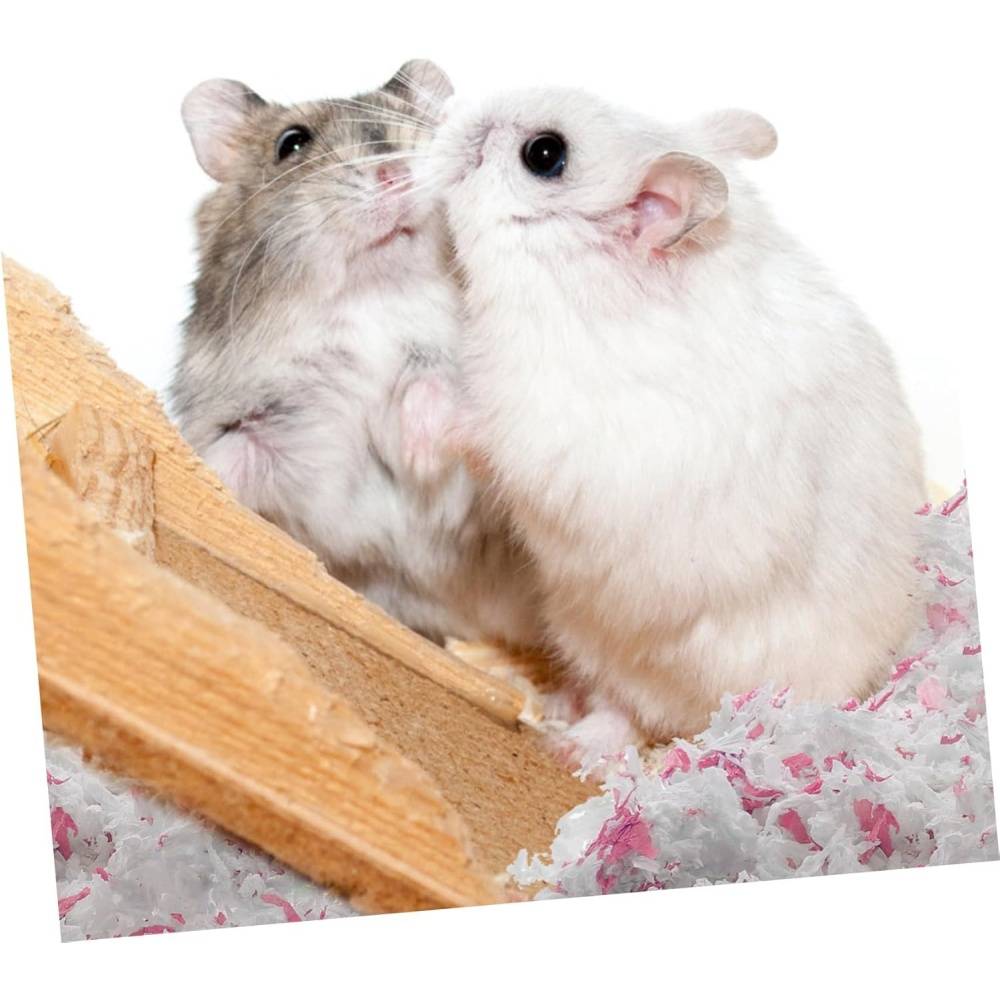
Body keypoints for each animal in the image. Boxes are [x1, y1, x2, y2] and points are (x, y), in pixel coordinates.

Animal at [169, 61, 540, 646]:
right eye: (291, 143)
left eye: (424, 129)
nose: (396, 172)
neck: (372, 299)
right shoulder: (262, 419)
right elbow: (234, 453)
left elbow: (437, 383)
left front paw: (418, 453)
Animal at [428, 89, 925, 763]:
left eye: (544, 155)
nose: (448, 112)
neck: (575, 279)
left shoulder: (550, 429)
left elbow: (479, 428)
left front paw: (420, 408)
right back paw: (558, 706)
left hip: (646, 657)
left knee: (628, 713)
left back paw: (571, 746)